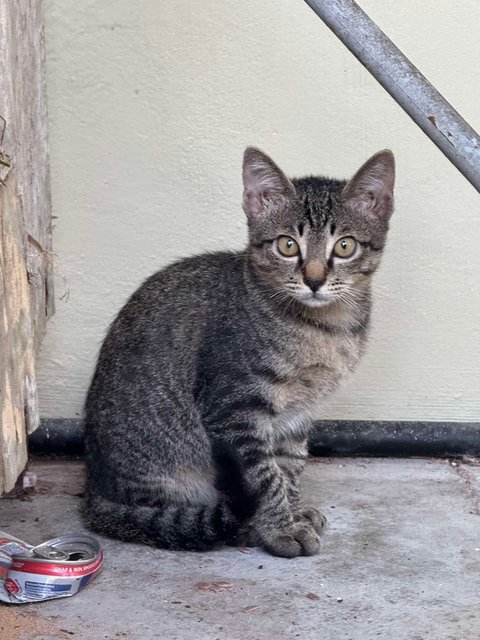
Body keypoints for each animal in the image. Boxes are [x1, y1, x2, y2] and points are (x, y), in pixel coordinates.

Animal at [83, 148, 394, 556]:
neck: (324, 330)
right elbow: (266, 475)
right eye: (287, 245)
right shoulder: (233, 409)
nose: (314, 280)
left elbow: (290, 466)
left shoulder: (298, 413)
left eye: (345, 246)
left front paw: (292, 512)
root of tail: (92, 493)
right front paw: (279, 529)